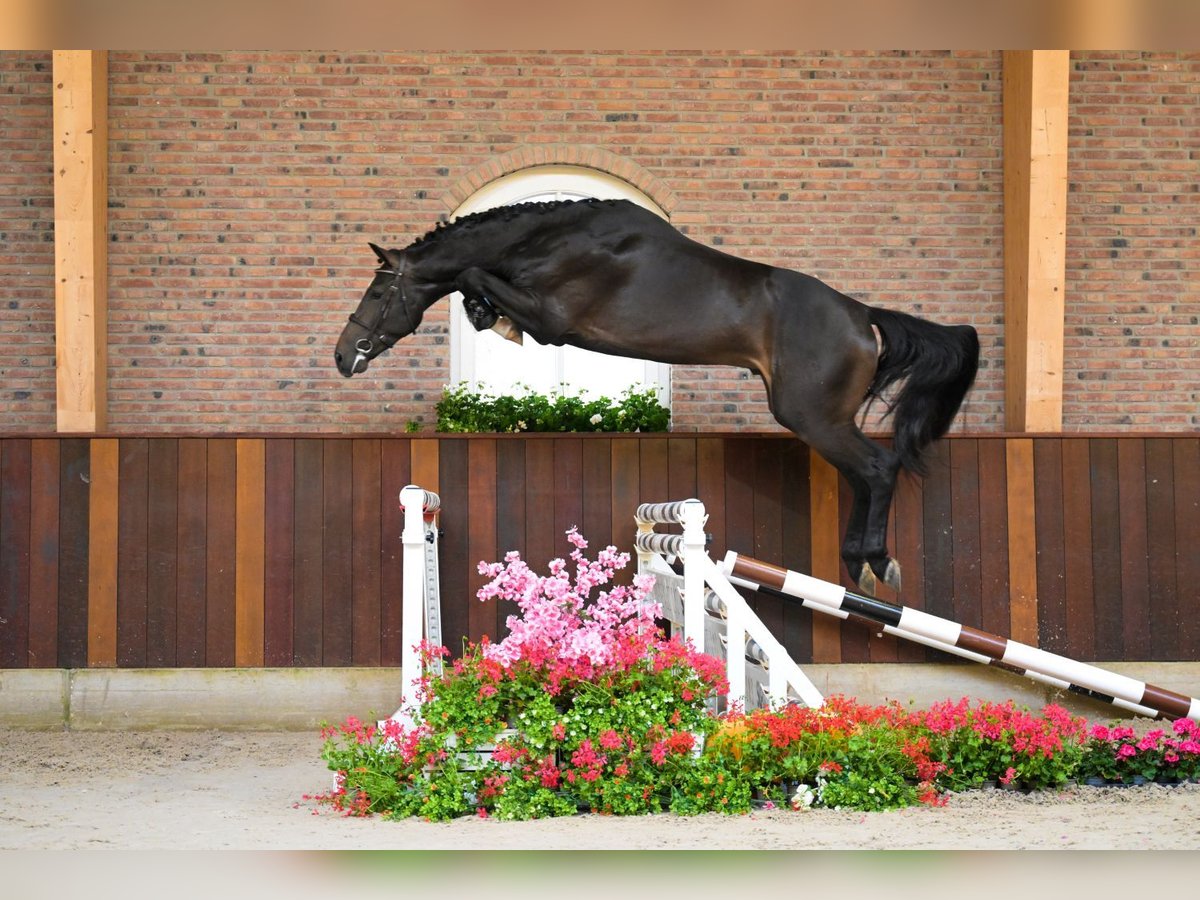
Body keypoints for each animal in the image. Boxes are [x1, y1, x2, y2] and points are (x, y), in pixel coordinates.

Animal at [336, 199, 974, 600]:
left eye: (378, 291)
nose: (345, 356)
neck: (549, 240)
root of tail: (863, 317)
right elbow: (475, 278)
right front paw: (483, 314)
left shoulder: (553, 319)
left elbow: (473, 272)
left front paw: (489, 315)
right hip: (821, 420)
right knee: (865, 476)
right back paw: (858, 564)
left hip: (811, 415)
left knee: (879, 467)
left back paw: (875, 564)